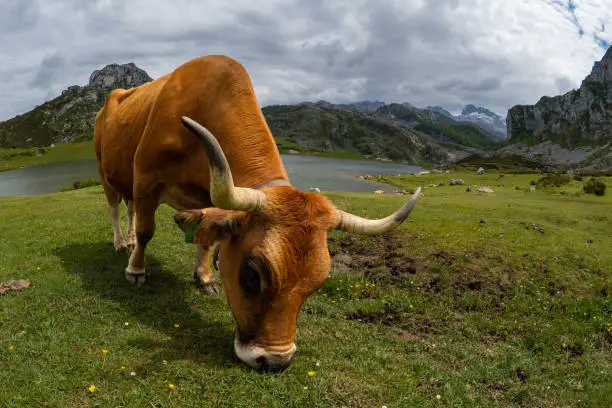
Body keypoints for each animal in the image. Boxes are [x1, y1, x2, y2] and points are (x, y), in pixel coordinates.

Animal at [94, 55, 420, 372]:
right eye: (252, 274)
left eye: (317, 283)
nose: (276, 362)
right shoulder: (146, 181)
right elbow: (147, 231)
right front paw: (136, 271)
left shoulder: (207, 197)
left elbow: (204, 238)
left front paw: (205, 278)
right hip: (108, 175)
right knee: (116, 209)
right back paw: (122, 244)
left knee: (131, 210)